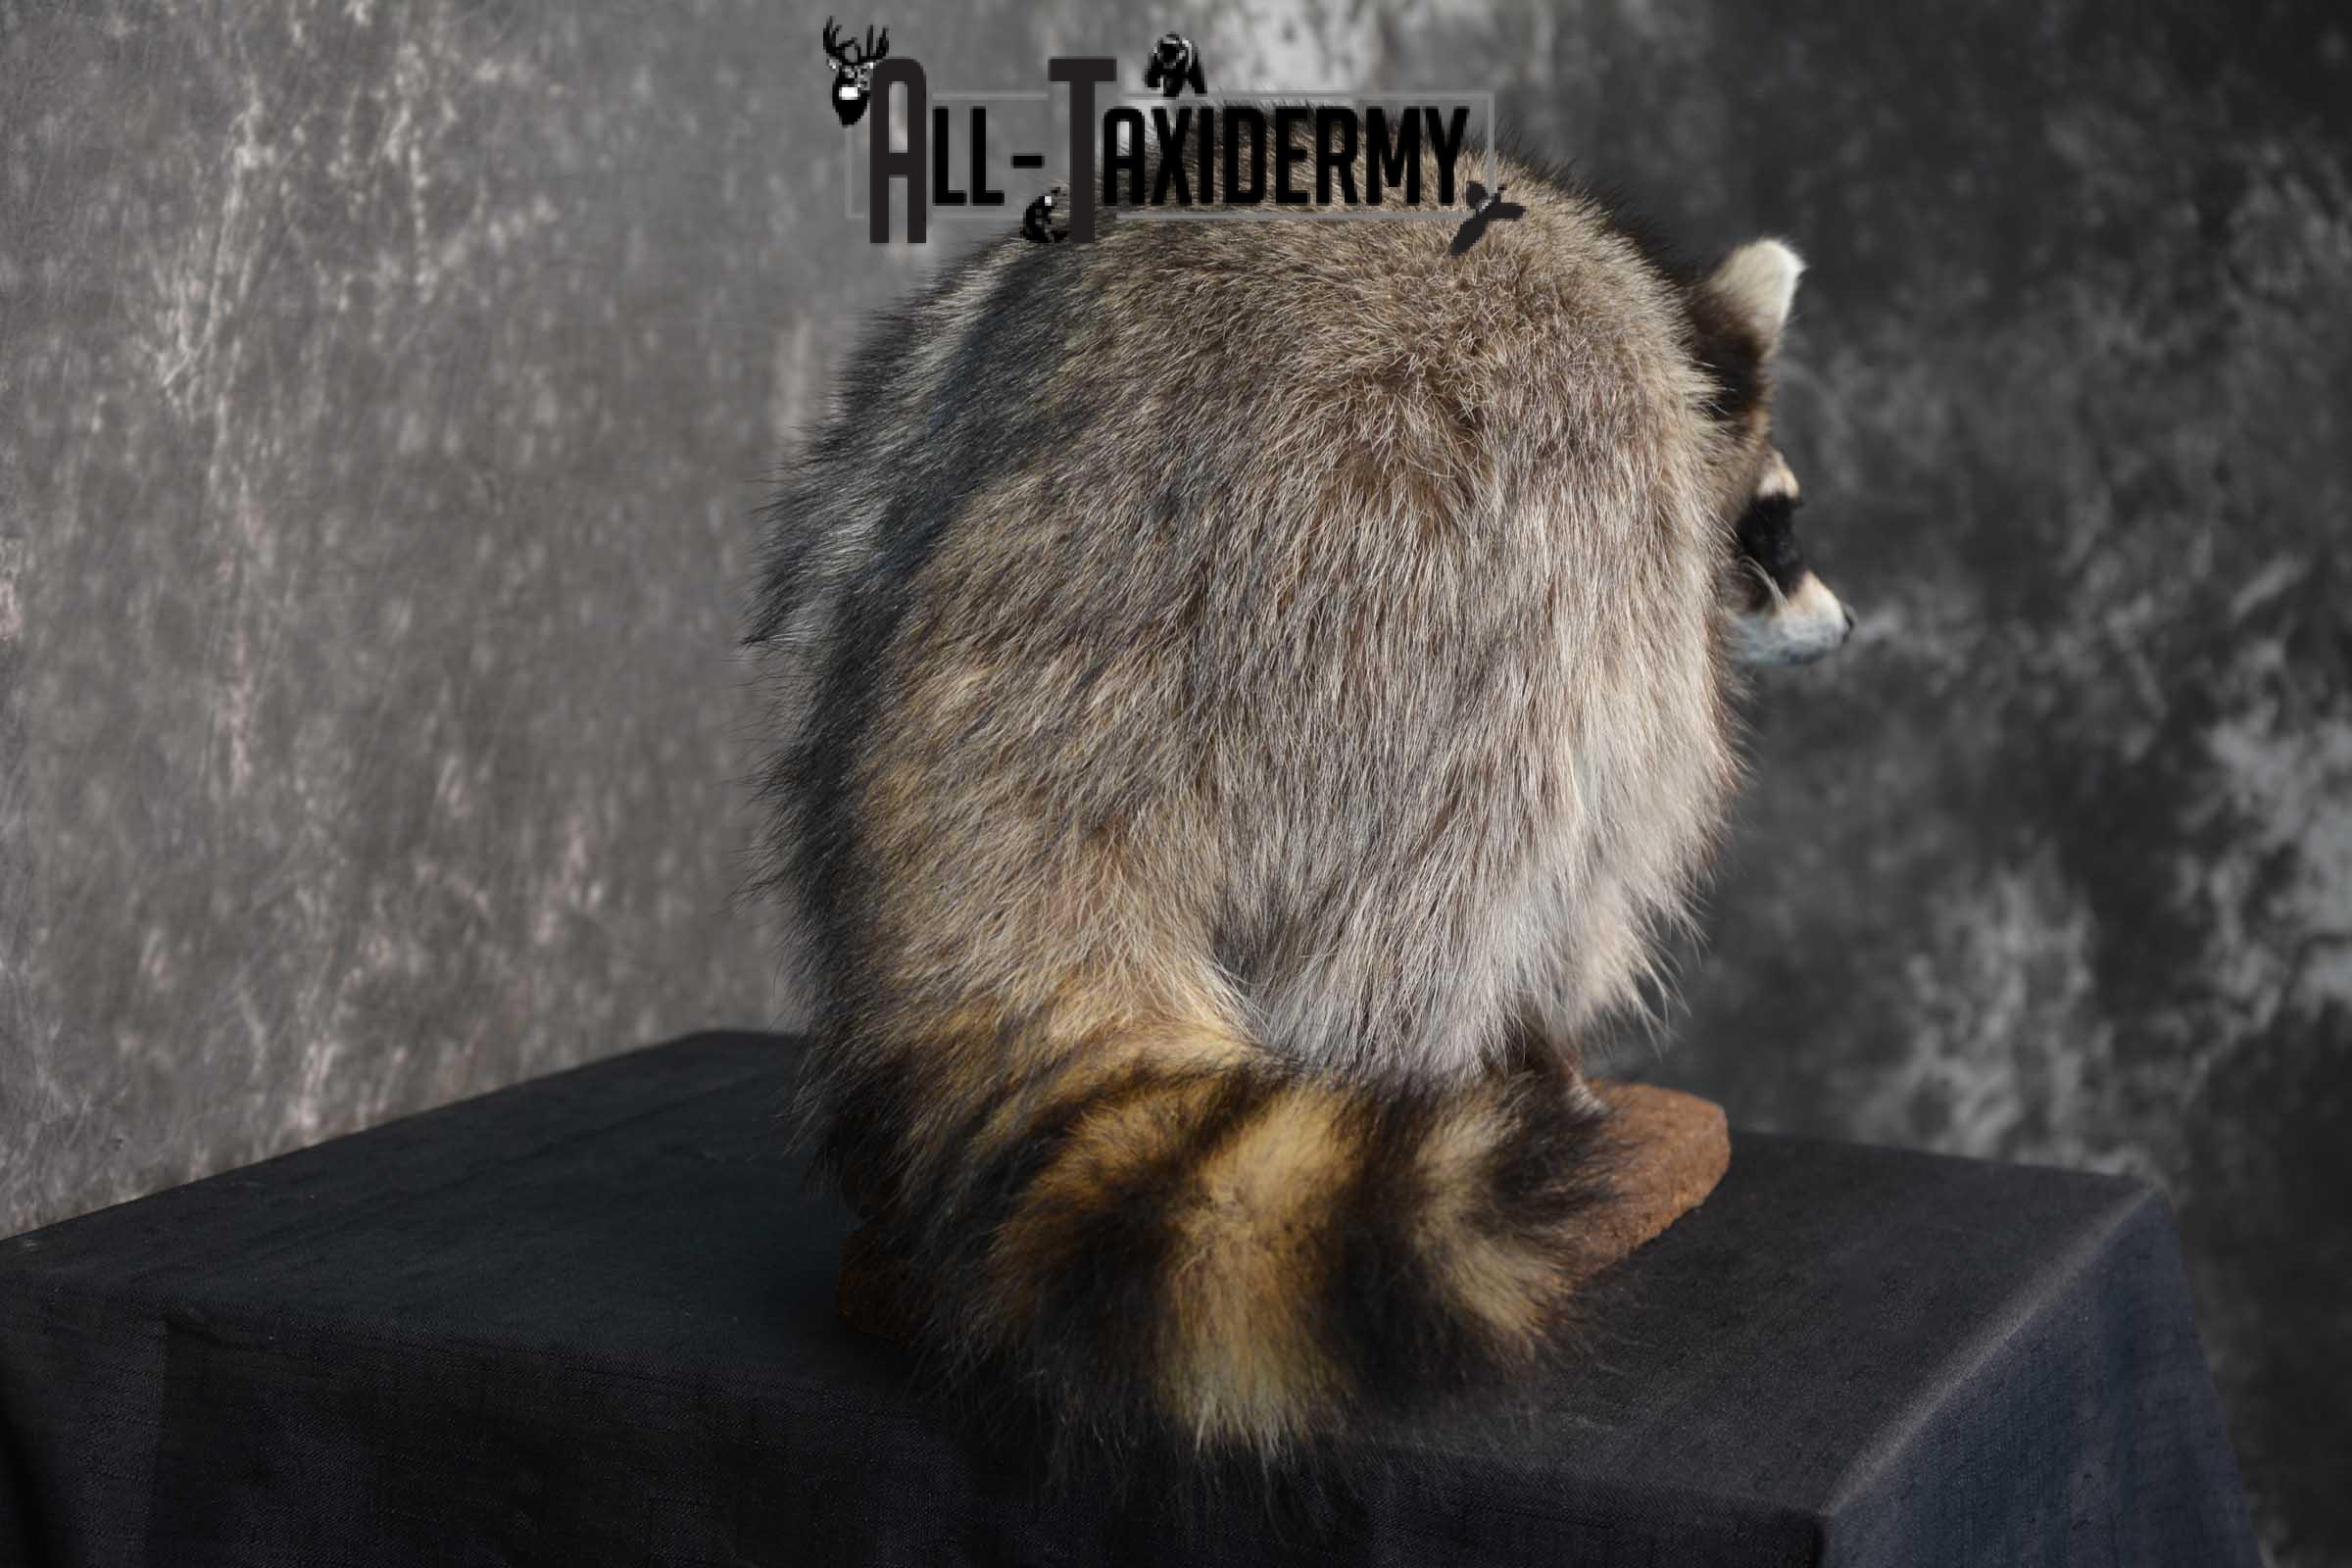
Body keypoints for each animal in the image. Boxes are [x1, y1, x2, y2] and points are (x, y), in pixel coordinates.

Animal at [748, 141, 1850, 1460]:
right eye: (1775, 527)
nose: (1843, 624)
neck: (1661, 319)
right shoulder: (1622, 531)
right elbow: (1606, 846)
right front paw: (1550, 1046)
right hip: (1429, 580)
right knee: (1472, 861)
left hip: (881, 489)